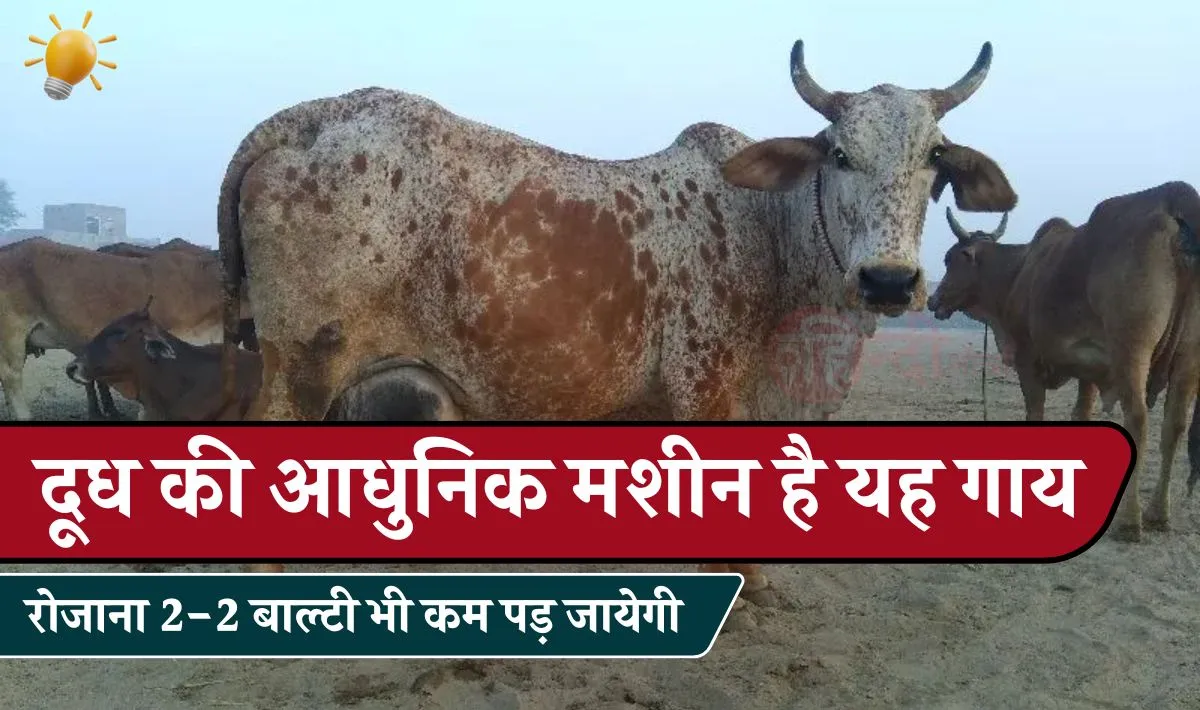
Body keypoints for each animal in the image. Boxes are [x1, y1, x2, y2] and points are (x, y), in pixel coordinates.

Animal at [215, 38, 1018, 608]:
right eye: (841, 154)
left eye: (936, 158)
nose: (890, 280)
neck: (773, 233)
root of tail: (310, 115)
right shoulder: (705, 386)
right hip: (304, 364)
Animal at [928, 181, 1200, 542]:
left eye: (949, 259)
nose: (932, 300)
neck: (1018, 272)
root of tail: (1175, 197)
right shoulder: (1091, 369)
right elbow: (1080, 414)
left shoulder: (1028, 359)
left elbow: (1035, 415)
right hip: (1188, 356)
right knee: (1174, 426)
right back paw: (1158, 514)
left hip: (1131, 349)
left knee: (1139, 421)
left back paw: (1131, 521)